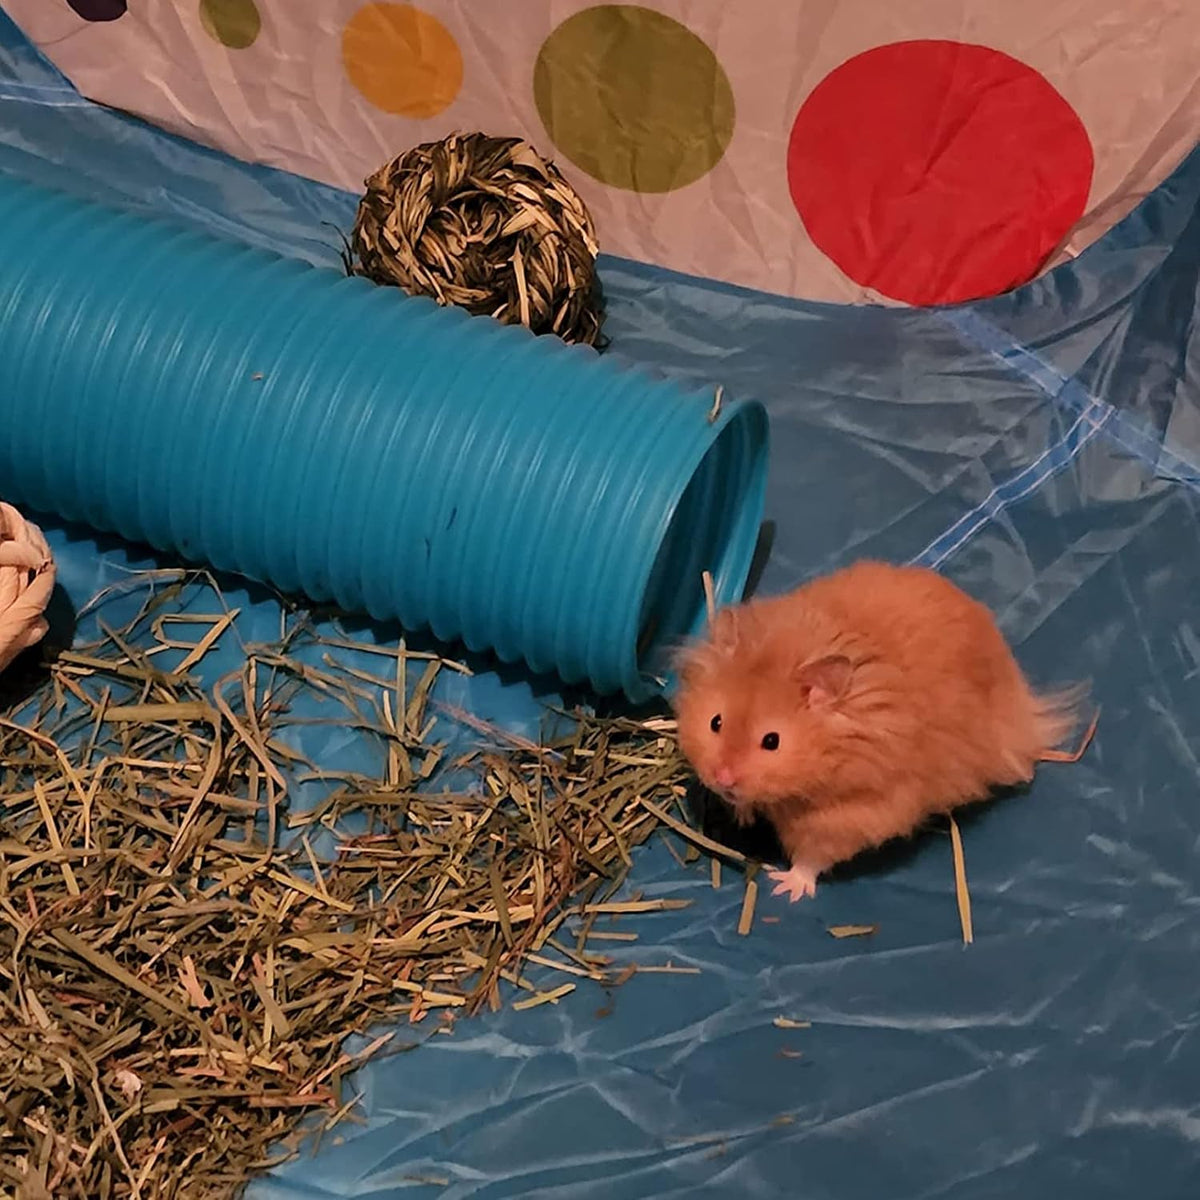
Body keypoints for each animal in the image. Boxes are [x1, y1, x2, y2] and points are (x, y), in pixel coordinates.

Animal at [672, 560, 1090, 901]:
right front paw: (741, 813)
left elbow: (812, 855)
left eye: (771, 742)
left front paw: (785, 887)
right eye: (715, 722)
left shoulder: (853, 814)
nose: (723, 778)